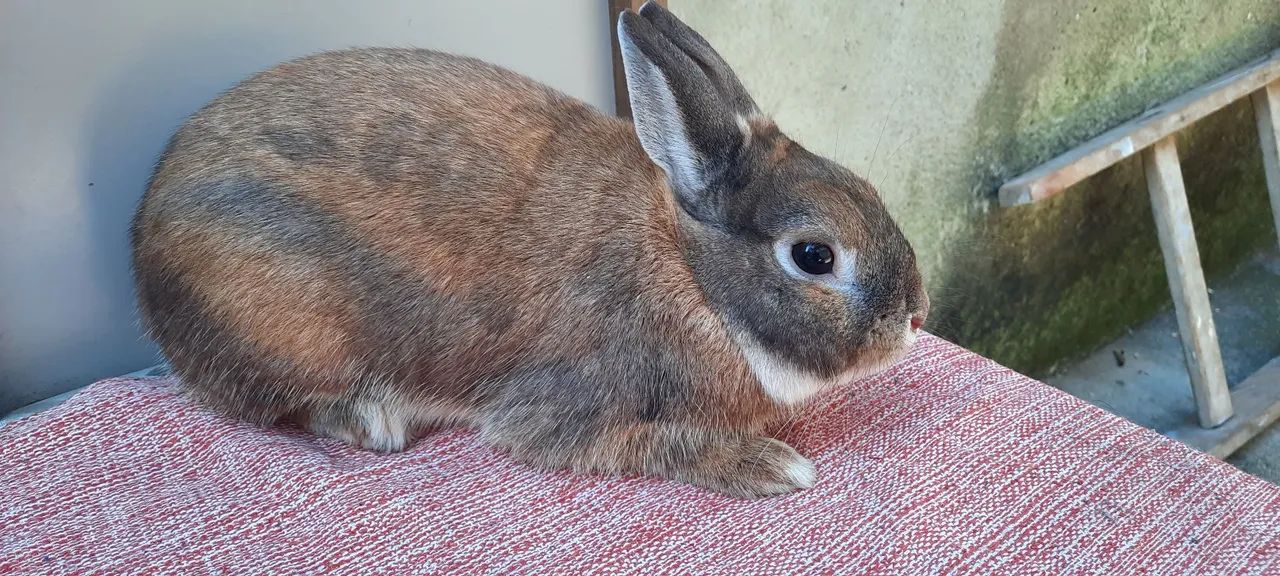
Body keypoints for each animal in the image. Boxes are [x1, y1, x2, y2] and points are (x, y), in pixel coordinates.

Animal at [130, 1, 928, 499]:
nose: (917, 314)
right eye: (814, 256)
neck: (695, 276)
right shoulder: (565, 407)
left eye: (867, 187)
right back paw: (371, 419)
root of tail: (143, 237)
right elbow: (636, 443)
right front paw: (773, 466)